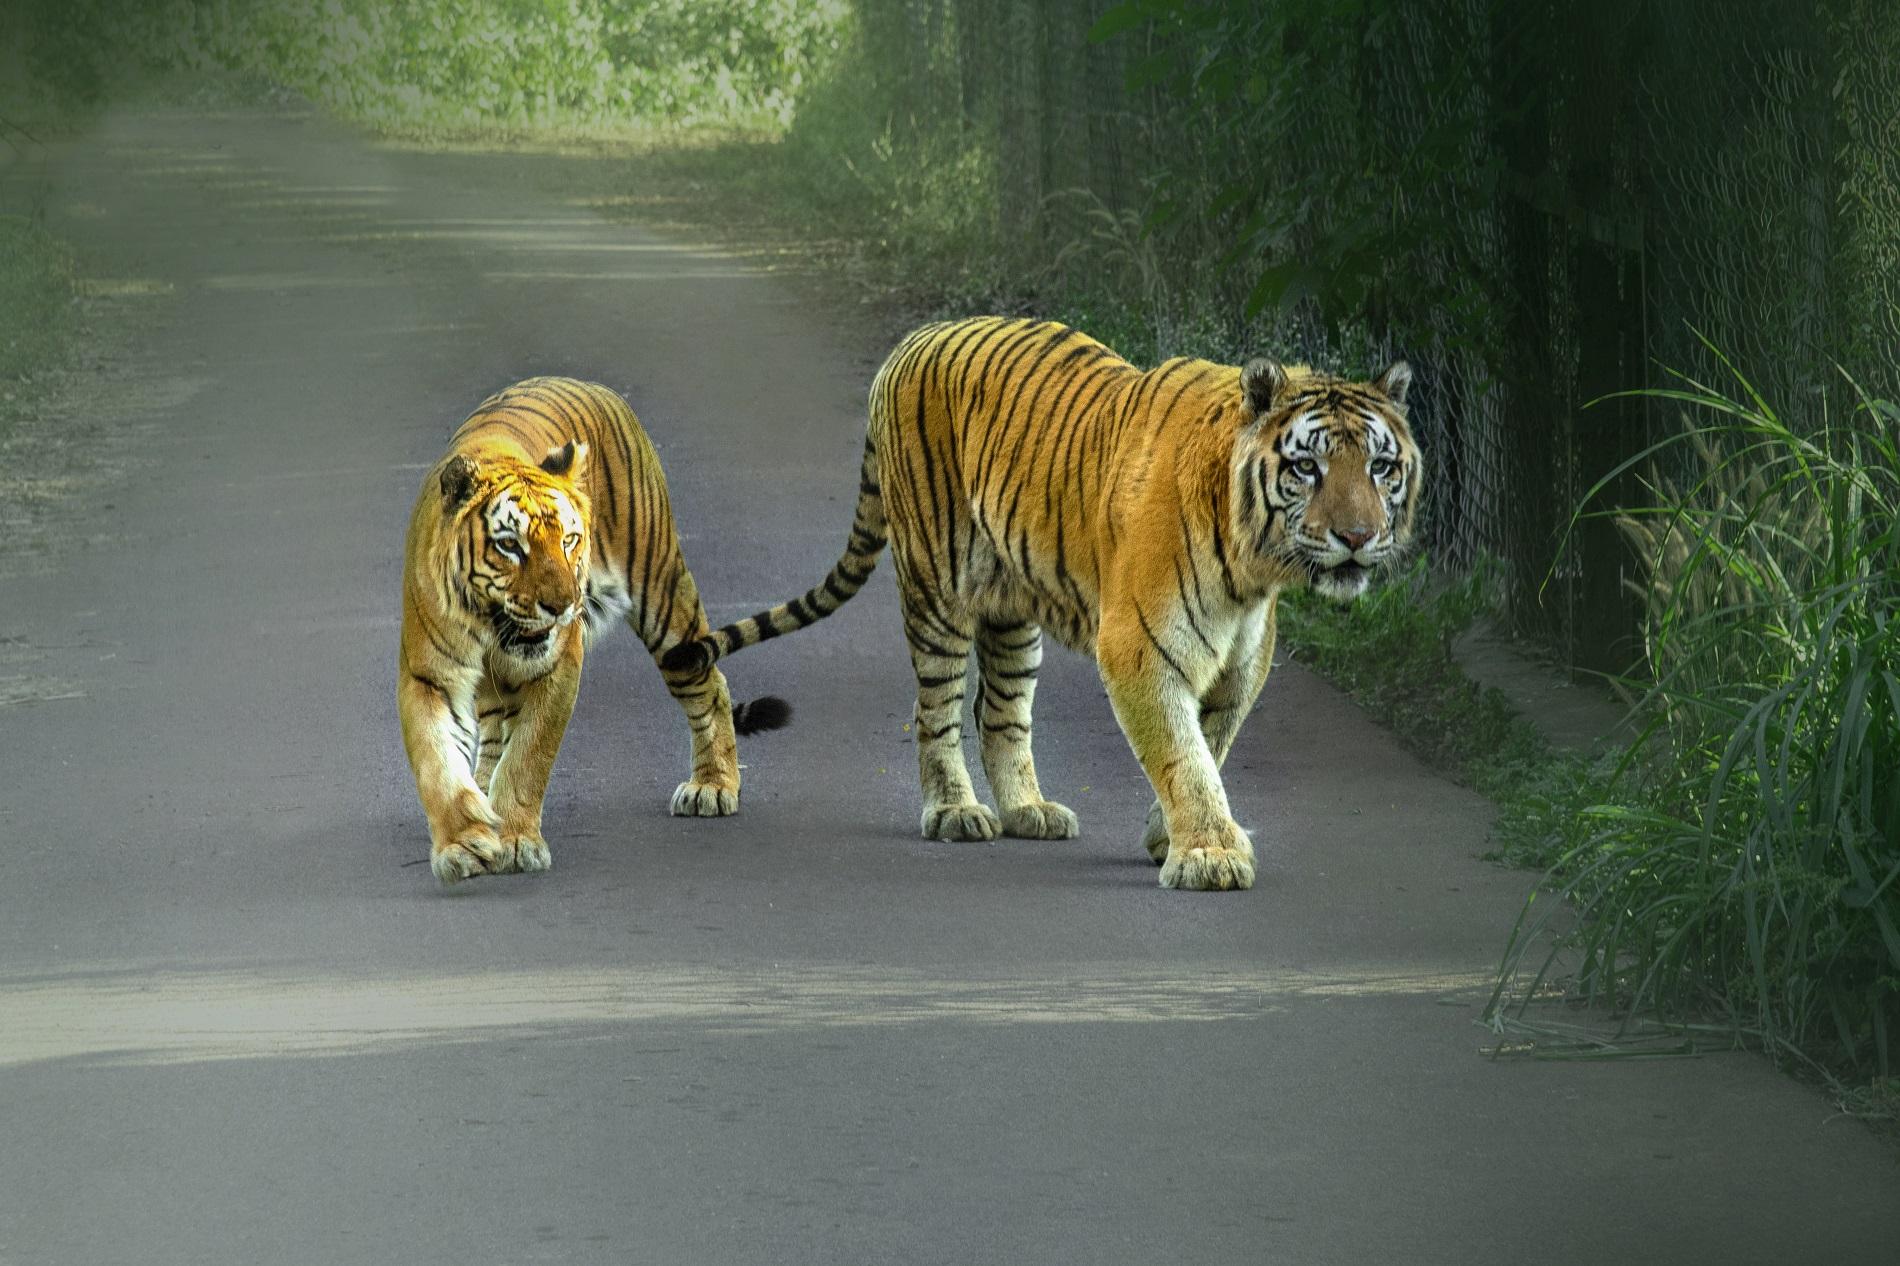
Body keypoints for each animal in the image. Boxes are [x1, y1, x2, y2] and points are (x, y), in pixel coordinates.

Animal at [399, 376, 790, 885]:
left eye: (569, 540)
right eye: (510, 546)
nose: (563, 605)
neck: (491, 624)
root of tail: (589, 384)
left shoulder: (558, 665)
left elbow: (528, 757)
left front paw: (516, 842)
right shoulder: (428, 675)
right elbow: (438, 763)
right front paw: (464, 845)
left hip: (663, 597)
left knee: (711, 683)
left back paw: (712, 786)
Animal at [661, 317, 1420, 891]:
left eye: (1381, 466)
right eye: (1306, 467)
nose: (1359, 536)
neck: (1251, 569)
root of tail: (911, 340)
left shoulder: (1241, 664)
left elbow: (1211, 744)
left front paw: (1170, 835)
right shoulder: (1140, 647)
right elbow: (1183, 753)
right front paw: (1210, 856)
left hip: (1012, 613)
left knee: (1000, 715)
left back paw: (1028, 809)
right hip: (937, 587)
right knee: (935, 711)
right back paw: (955, 812)